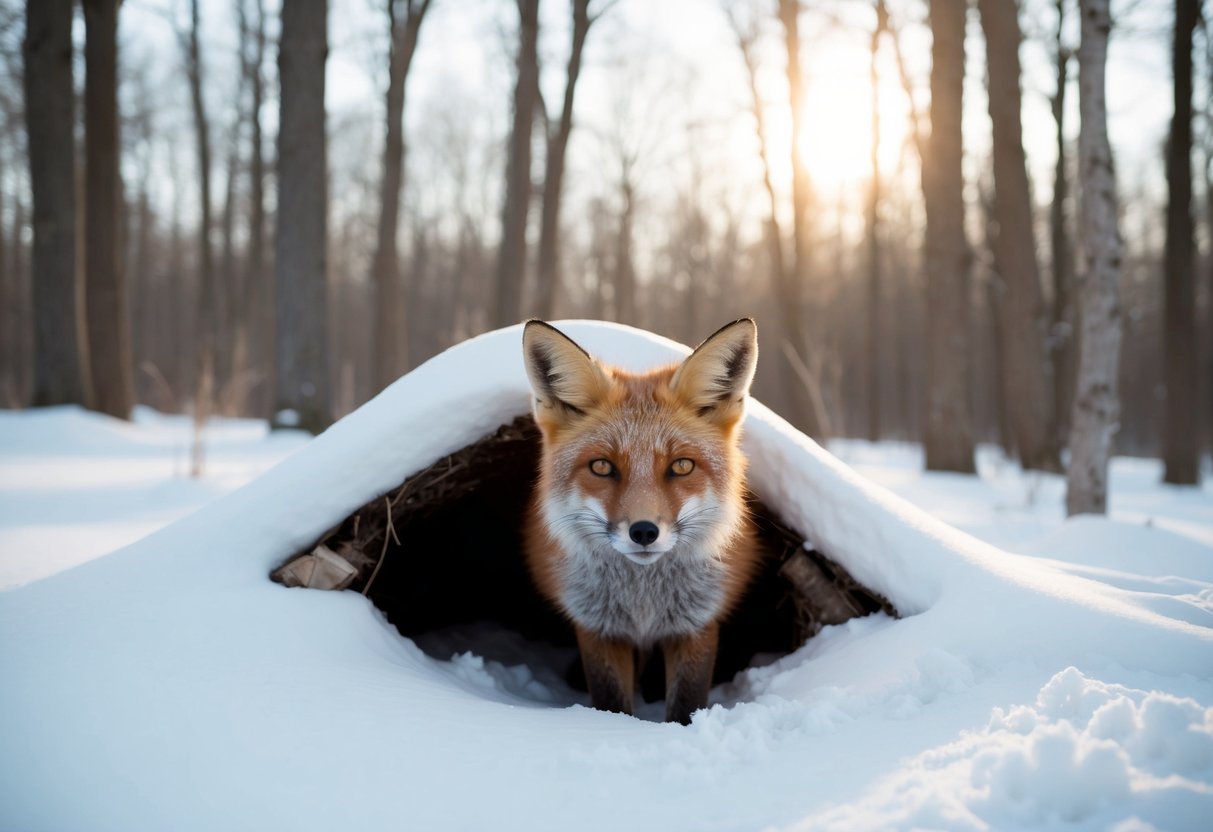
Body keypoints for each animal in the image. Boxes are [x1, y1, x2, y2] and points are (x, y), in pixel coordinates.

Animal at [521, 319, 762, 724]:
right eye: (602, 467)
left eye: (682, 466)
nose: (644, 532)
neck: (643, 602)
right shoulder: (598, 628)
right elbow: (611, 702)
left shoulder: (696, 625)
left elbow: (686, 705)